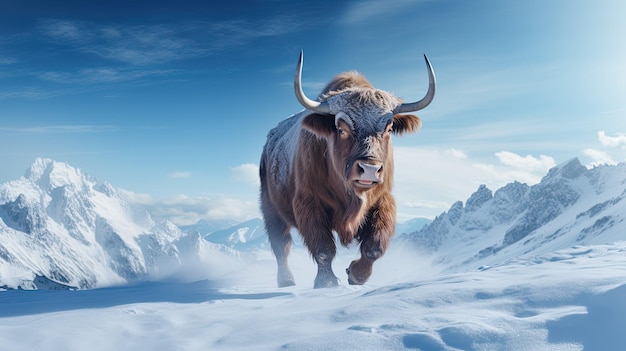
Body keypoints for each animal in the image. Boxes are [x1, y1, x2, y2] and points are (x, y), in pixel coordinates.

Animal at [258, 51, 434, 288]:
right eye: (341, 129)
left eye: (389, 128)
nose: (369, 169)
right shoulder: (308, 204)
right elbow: (323, 248)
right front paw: (327, 282)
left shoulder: (383, 201)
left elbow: (374, 247)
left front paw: (356, 275)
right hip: (271, 208)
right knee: (281, 245)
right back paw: (287, 281)